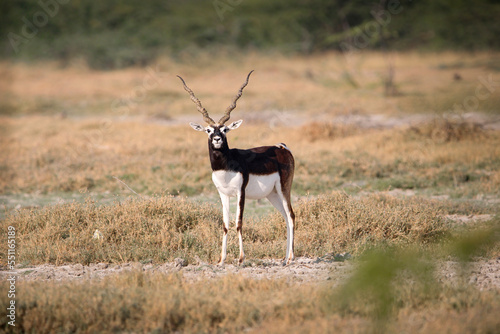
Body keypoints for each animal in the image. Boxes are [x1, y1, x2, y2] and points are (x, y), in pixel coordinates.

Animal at [179, 72, 296, 264]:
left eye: (225, 129)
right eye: (209, 130)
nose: (217, 139)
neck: (226, 167)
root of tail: (282, 147)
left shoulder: (241, 192)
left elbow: (239, 222)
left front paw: (241, 258)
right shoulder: (223, 194)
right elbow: (226, 225)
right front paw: (221, 260)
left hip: (284, 188)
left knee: (291, 216)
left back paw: (291, 257)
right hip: (272, 194)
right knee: (285, 217)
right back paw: (285, 258)